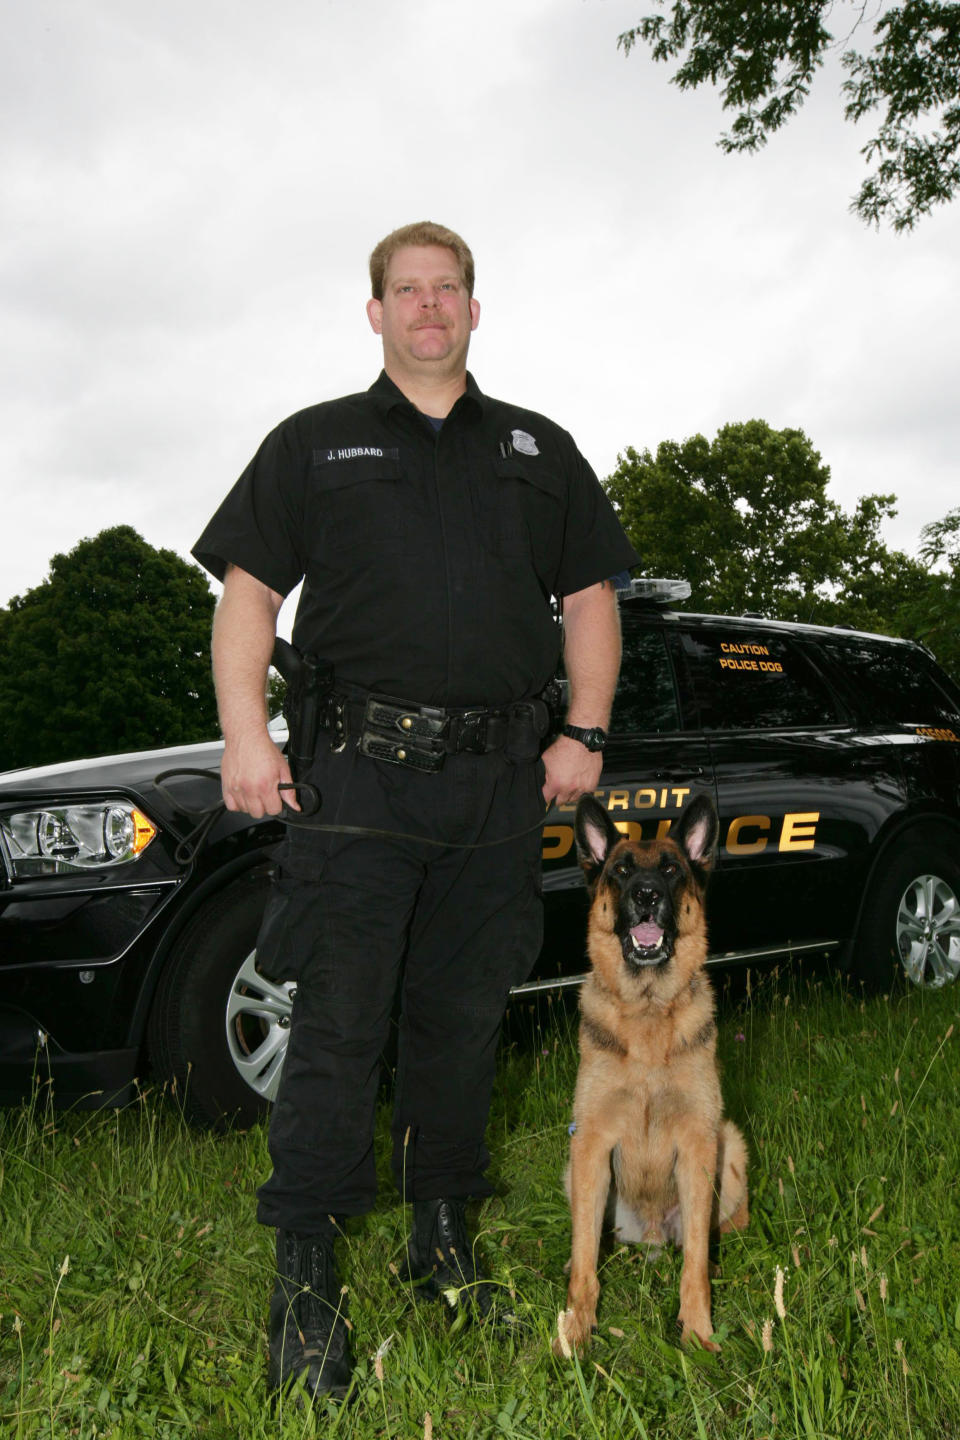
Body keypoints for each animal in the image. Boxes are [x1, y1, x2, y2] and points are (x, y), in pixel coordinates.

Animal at [555, 794, 748, 1353]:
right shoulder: (591, 1142)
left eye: (670, 869)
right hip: (575, 1170)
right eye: (620, 871)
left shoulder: (700, 1143)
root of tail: (655, 1235)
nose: (646, 895)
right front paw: (575, 1331)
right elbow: (585, 1263)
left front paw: (698, 1332)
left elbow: (696, 1263)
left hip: (731, 1147)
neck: (646, 1015)